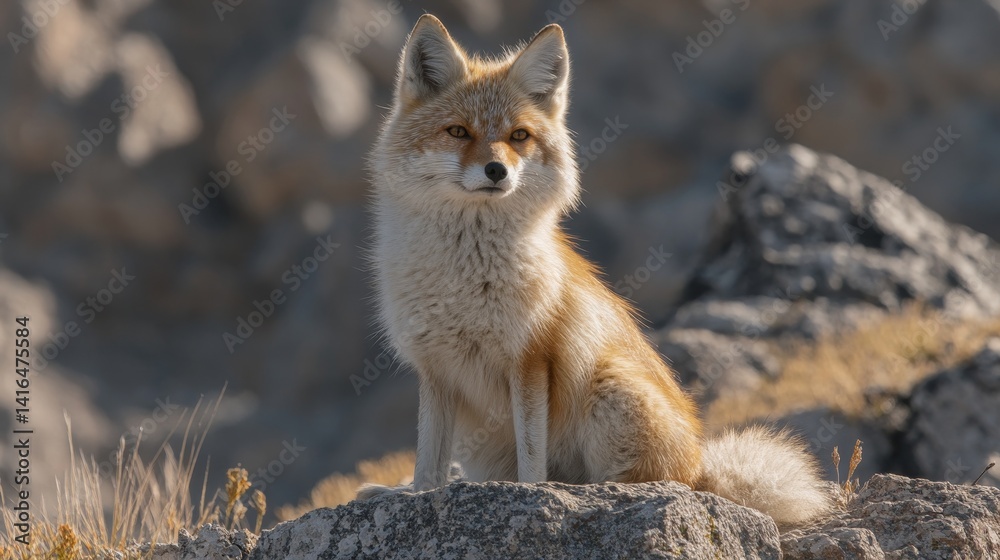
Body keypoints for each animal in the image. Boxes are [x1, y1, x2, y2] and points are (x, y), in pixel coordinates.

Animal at [360, 14, 832, 530]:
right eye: (458, 132)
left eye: (519, 136)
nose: (497, 171)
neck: (463, 278)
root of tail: (699, 469)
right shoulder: (436, 369)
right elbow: (429, 461)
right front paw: (414, 497)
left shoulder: (531, 358)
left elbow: (531, 460)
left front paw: (530, 496)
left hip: (608, 384)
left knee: (643, 483)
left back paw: (595, 493)